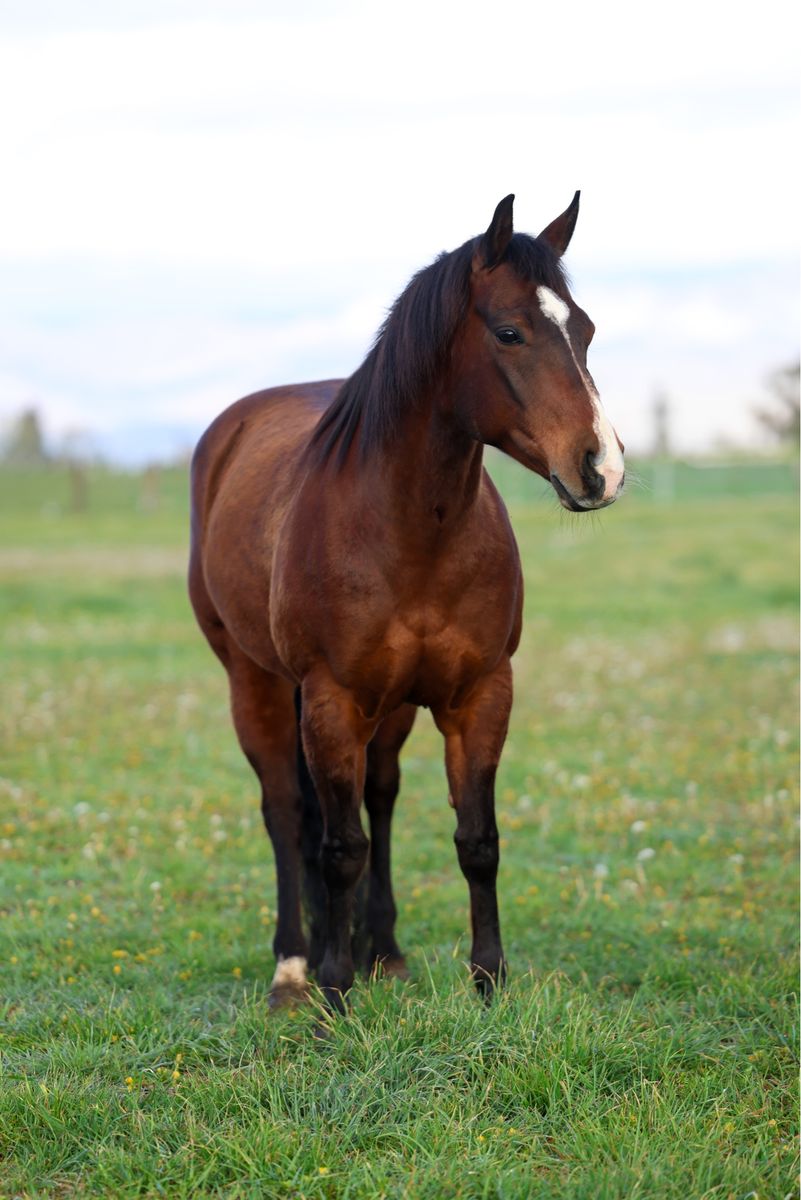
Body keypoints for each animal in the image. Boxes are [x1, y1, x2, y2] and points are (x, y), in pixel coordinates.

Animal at [188, 193, 624, 1012]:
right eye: (509, 331)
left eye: (583, 329)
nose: (601, 468)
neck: (409, 533)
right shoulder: (332, 699)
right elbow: (337, 845)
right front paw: (331, 993)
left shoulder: (479, 694)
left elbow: (475, 841)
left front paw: (487, 981)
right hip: (253, 681)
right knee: (286, 811)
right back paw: (295, 965)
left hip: (387, 709)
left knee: (379, 796)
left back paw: (380, 949)